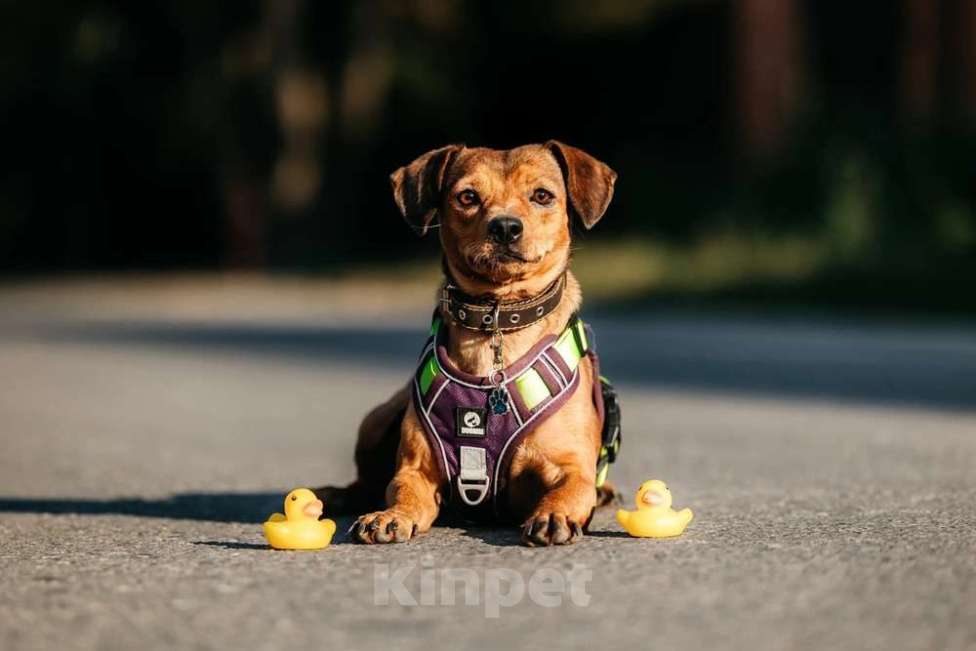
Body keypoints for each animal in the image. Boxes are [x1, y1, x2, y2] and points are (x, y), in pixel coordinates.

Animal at [314, 141, 616, 544]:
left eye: (542, 196)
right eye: (468, 196)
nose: (505, 226)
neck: (498, 319)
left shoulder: (572, 467)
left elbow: (570, 489)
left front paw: (554, 513)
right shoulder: (416, 468)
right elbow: (402, 489)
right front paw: (391, 515)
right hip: (375, 420)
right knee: (365, 483)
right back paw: (335, 495)